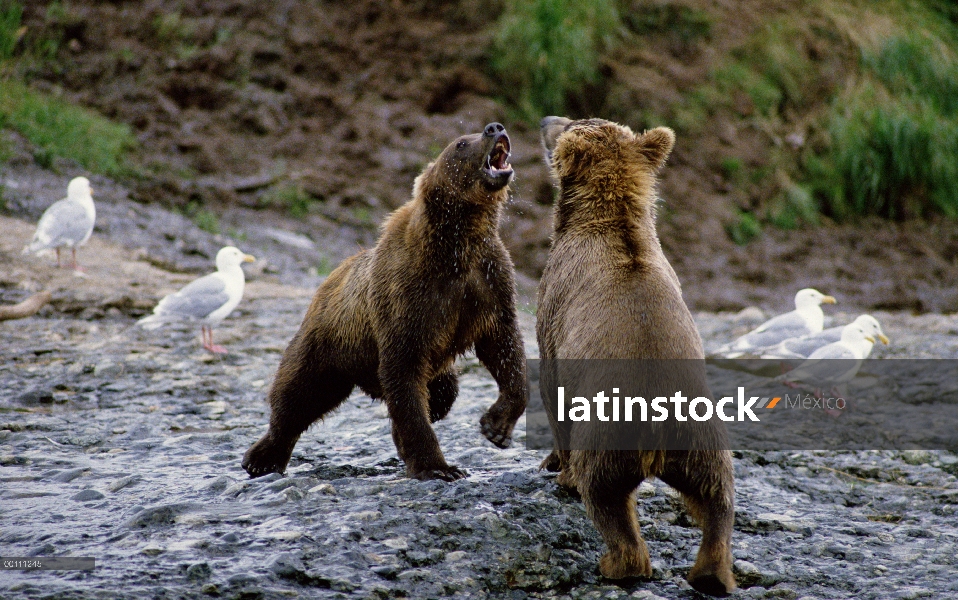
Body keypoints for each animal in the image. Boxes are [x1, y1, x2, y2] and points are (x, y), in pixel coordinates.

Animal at [239, 123, 524, 482]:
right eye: (460, 143)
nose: (494, 128)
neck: (457, 243)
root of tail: (326, 282)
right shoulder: (407, 294)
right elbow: (403, 372)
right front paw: (440, 467)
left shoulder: (487, 280)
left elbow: (504, 345)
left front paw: (497, 426)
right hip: (329, 343)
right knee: (299, 393)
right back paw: (262, 457)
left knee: (444, 390)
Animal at [540, 117, 736, 596]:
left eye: (569, 123)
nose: (546, 121)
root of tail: (658, 424)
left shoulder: (555, 303)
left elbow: (551, 388)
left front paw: (555, 464)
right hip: (701, 433)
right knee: (717, 496)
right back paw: (713, 574)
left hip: (609, 428)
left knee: (606, 494)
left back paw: (617, 560)